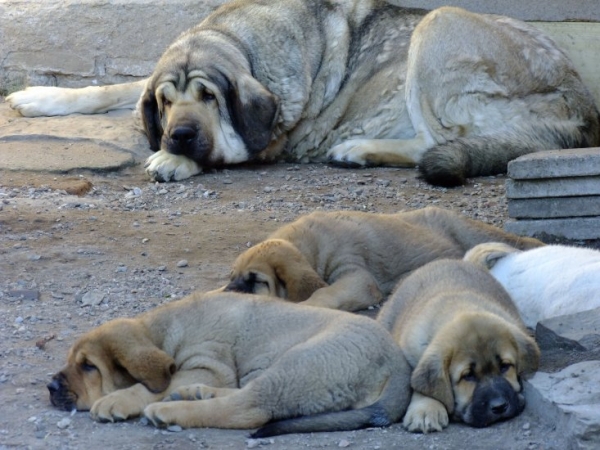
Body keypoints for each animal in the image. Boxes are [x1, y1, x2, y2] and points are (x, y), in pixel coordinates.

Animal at [5, 0, 600, 185]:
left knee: (442, 142)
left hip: (436, 23)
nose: (177, 136)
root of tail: (579, 107)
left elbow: (228, 148)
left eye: (211, 98)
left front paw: (174, 161)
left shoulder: (269, 138)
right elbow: (121, 89)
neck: (239, 40)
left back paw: (359, 149)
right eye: (169, 101)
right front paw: (37, 98)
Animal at [47, 292, 412, 436]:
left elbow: (150, 386)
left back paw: (171, 410)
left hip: (299, 363)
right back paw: (195, 394)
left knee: (246, 409)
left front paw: (117, 400)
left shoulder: (211, 366)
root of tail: (398, 364)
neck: (161, 332)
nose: (50, 386)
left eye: (89, 367)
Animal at [225, 206, 544, 312]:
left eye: (256, 280)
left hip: (466, 229)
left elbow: (326, 292)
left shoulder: (354, 273)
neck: (308, 247)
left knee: (519, 241)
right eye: (233, 276)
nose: (231, 292)